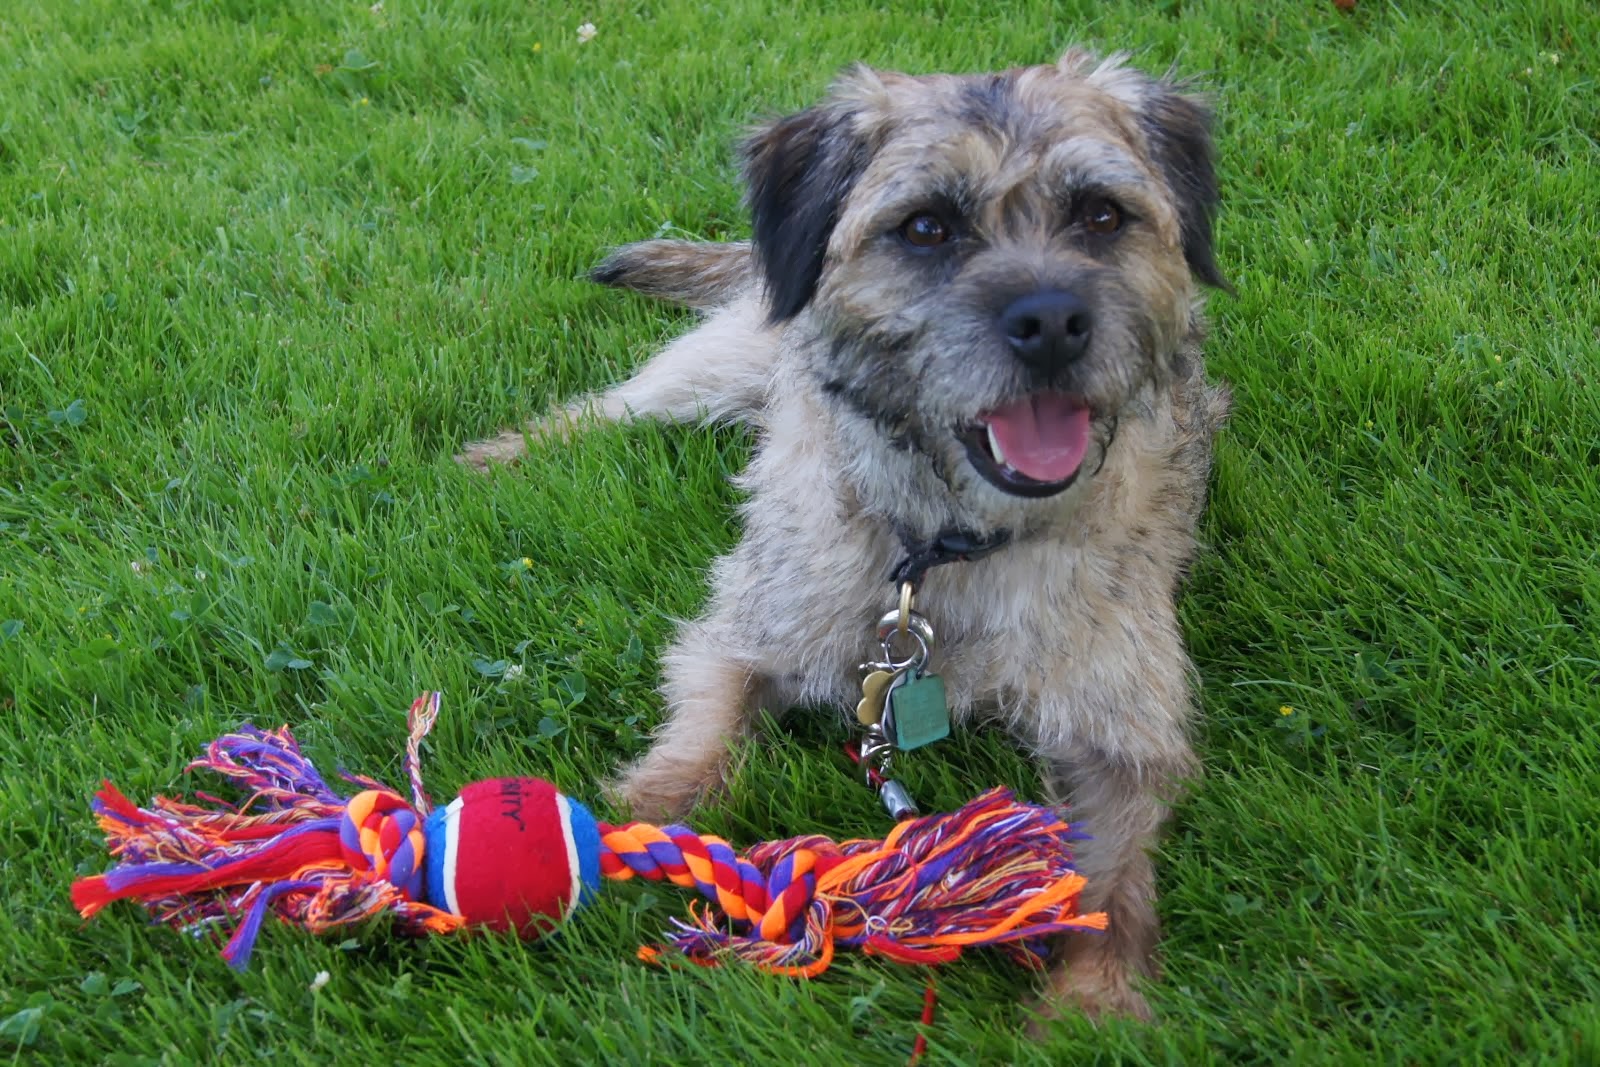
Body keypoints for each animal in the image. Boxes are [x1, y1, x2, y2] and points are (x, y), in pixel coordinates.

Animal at [457, 45, 1228, 1023]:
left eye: (1100, 213)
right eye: (927, 226)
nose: (1052, 320)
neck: (944, 547)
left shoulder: (1121, 727)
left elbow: (1113, 868)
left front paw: (1094, 997)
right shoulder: (747, 628)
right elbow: (706, 727)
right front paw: (650, 811)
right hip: (719, 368)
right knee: (610, 405)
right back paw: (500, 457)